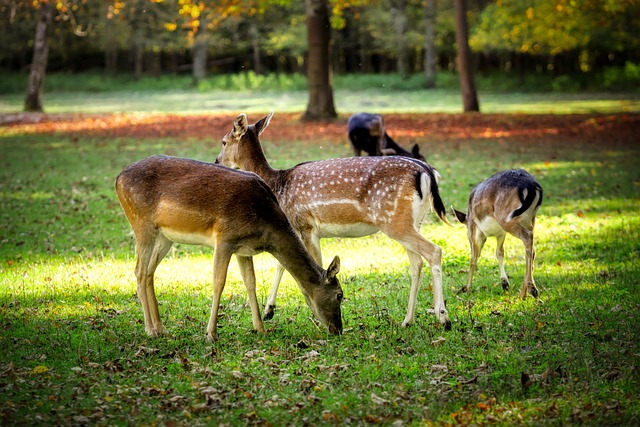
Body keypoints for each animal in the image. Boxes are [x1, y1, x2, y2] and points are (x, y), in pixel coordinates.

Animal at [115, 155, 344, 342]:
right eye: (340, 295)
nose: (338, 329)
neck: (266, 225)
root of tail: (118, 179)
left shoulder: (244, 249)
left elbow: (250, 283)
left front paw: (260, 328)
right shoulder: (224, 238)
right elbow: (219, 282)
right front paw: (211, 334)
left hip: (165, 236)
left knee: (149, 272)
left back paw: (161, 328)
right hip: (141, 222)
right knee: (139, 271)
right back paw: (150, 330)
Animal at [215, 113, 450, 332]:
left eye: (224, 142)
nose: (217, 161)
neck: (278, 186)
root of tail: (427, 172)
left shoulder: (306, 225)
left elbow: (313, 264)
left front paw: (315, 319)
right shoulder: (299, 229)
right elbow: (282, 264)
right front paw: (269, 310)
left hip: (394, 221)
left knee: (434, 251)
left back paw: (443, 318)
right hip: (412, 221)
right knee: (416, 263)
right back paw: (407, 320)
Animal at [450, 169, 544, 300]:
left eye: (466, 234)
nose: (468, 239)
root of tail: (532, 186)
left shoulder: (475, 229)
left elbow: (474, 257)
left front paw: (466, 288)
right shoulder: (501, 233)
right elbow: (499, 252)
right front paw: (504, 283)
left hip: (506, 217)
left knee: (527, 236)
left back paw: (532, 290)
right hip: (530, 218)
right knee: (532, 248)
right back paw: (523, 292)